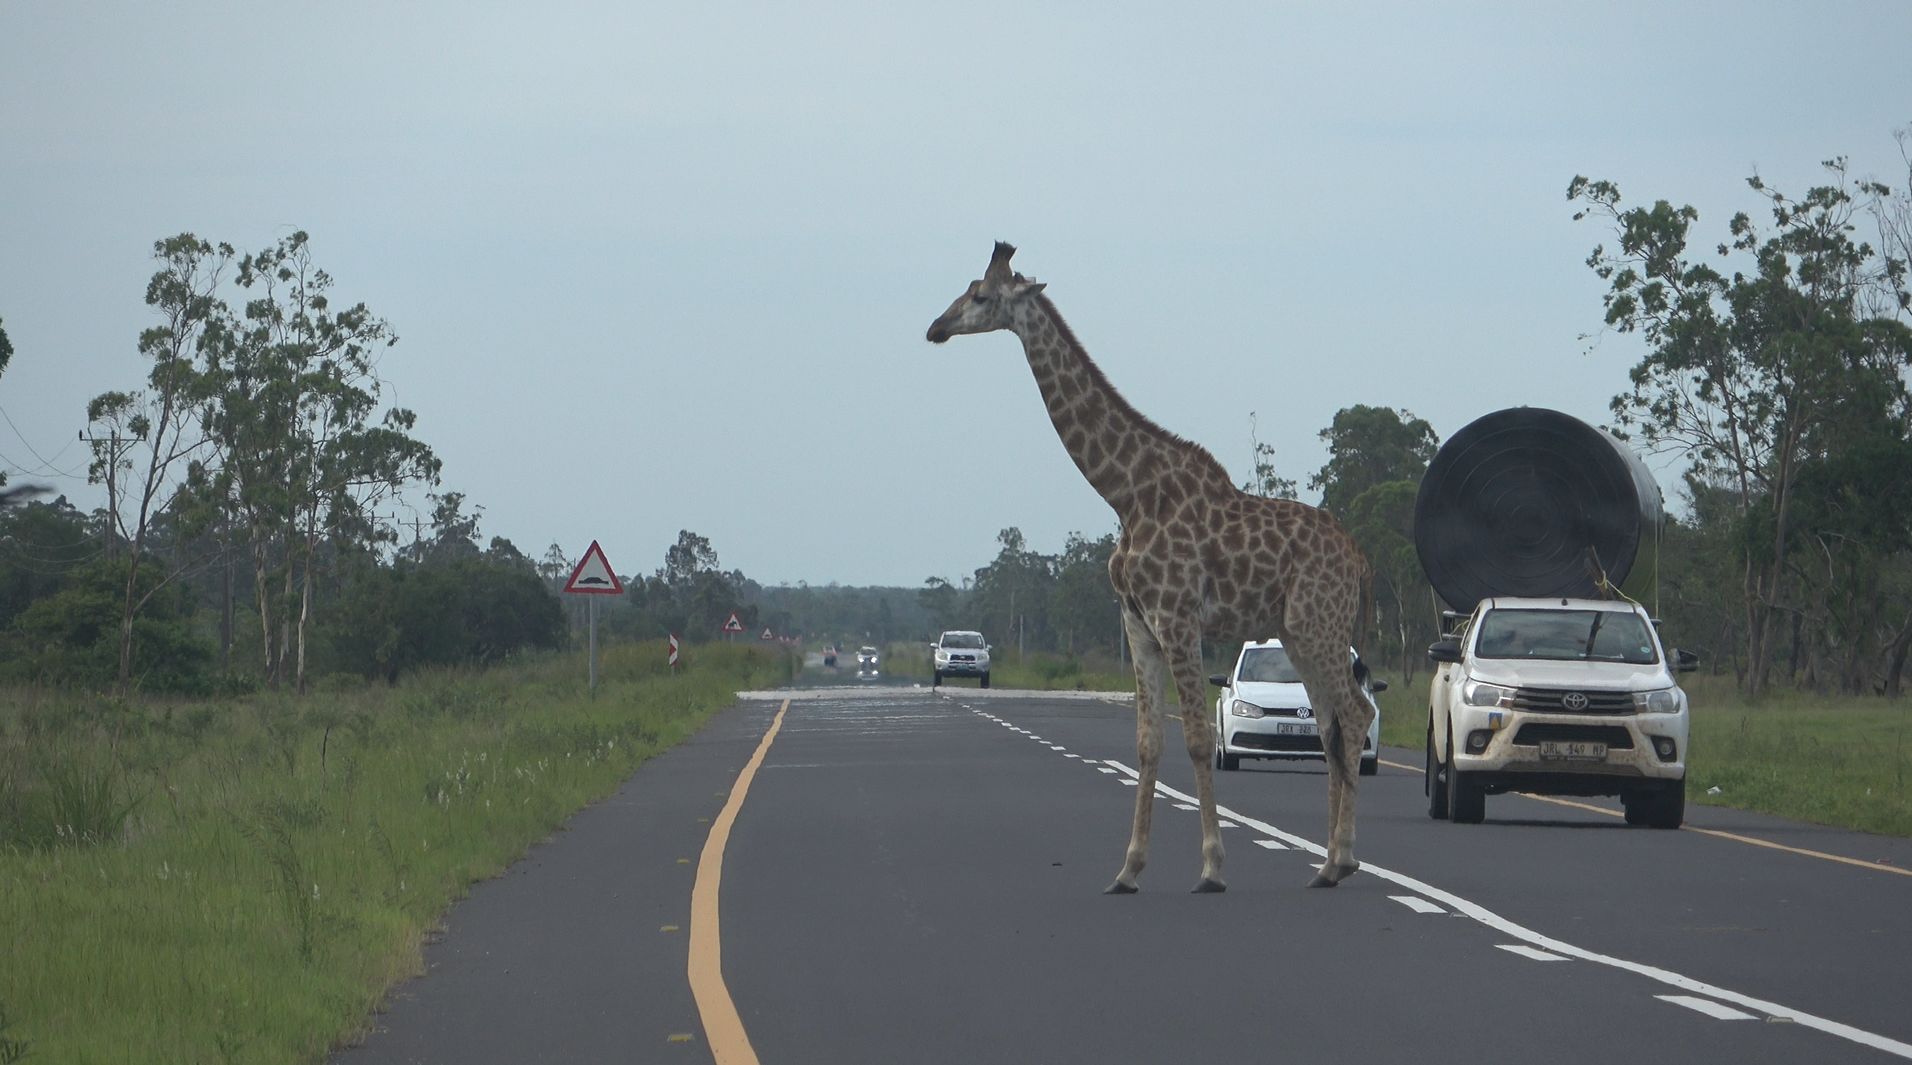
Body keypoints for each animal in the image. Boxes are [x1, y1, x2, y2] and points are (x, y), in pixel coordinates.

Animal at [925, 240, 1376, 887]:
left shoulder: (1177, 616)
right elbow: (1146, 744)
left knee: (1355, 716)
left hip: (1321, 623)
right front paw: (1128, 869)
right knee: (1330, 724)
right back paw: (1329, 865)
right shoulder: (1136, 621)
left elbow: (1194, 739)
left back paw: (1341, 859)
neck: (1126, 492)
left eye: (982, 297)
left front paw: (1211, 866)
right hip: (1298, 630)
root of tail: (1360, 559)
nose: (935, 328)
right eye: (966, 288)